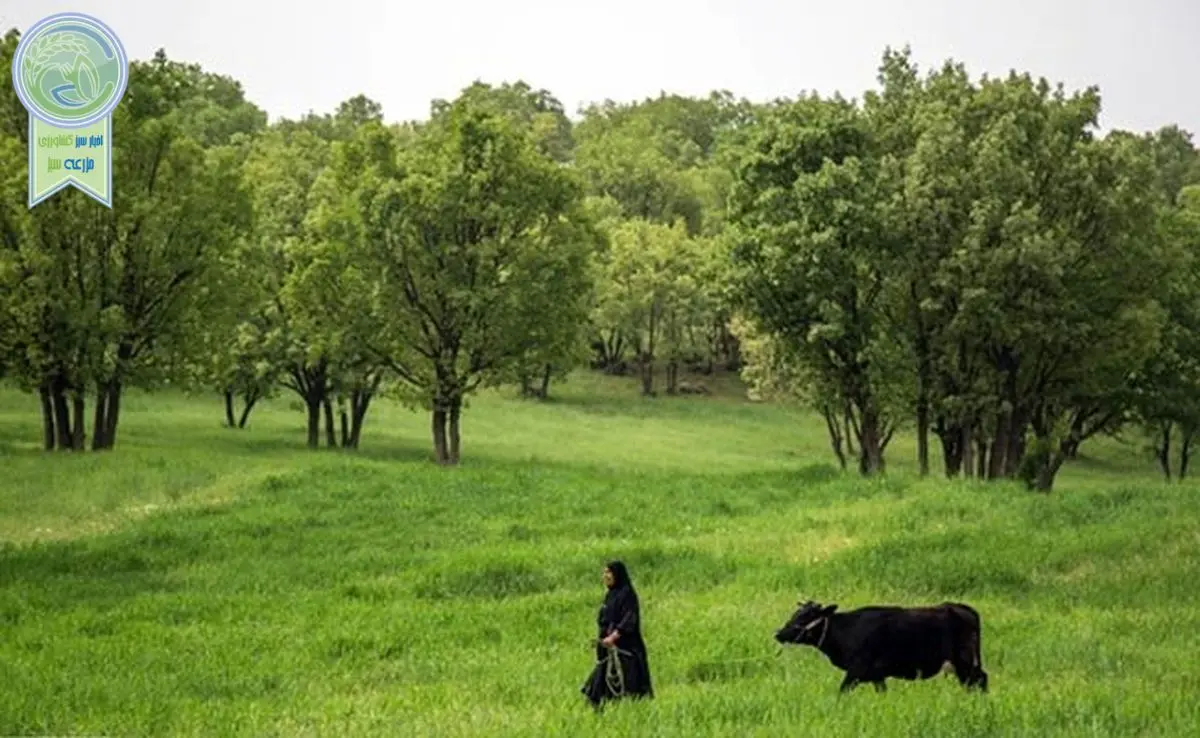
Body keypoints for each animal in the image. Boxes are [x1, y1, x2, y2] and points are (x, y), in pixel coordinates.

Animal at [772, 597, 988, 696]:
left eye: (806, 617)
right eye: (796, 614)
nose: (779, 633)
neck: (845, 630)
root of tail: (962, 607)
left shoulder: (856, 670)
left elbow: (842, 691)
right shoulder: (877, 676)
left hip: (965, 661)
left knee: (980, 679)